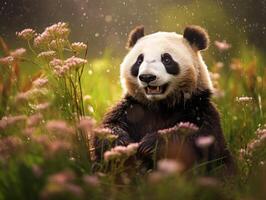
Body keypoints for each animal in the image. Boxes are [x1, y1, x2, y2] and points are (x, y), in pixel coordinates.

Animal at [95, 25, 235, 173]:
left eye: (167, 59)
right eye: (139, 60)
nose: (147, 77)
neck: (160, 104)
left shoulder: (198, 107)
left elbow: (199, 138)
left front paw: (150, 144)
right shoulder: (133, 107)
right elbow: (108, 127)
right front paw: (119, 143)